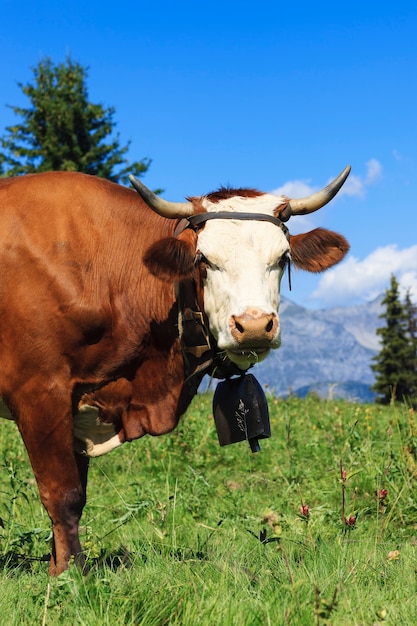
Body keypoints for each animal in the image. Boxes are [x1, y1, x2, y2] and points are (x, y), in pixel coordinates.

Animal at [0, 165, 350, 572]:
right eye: (204, 260)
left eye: (282, 257)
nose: (253, 326)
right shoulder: (40, 390)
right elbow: (64, 493)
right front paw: (71, 573)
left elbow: (78, 494)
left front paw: (58, 564)